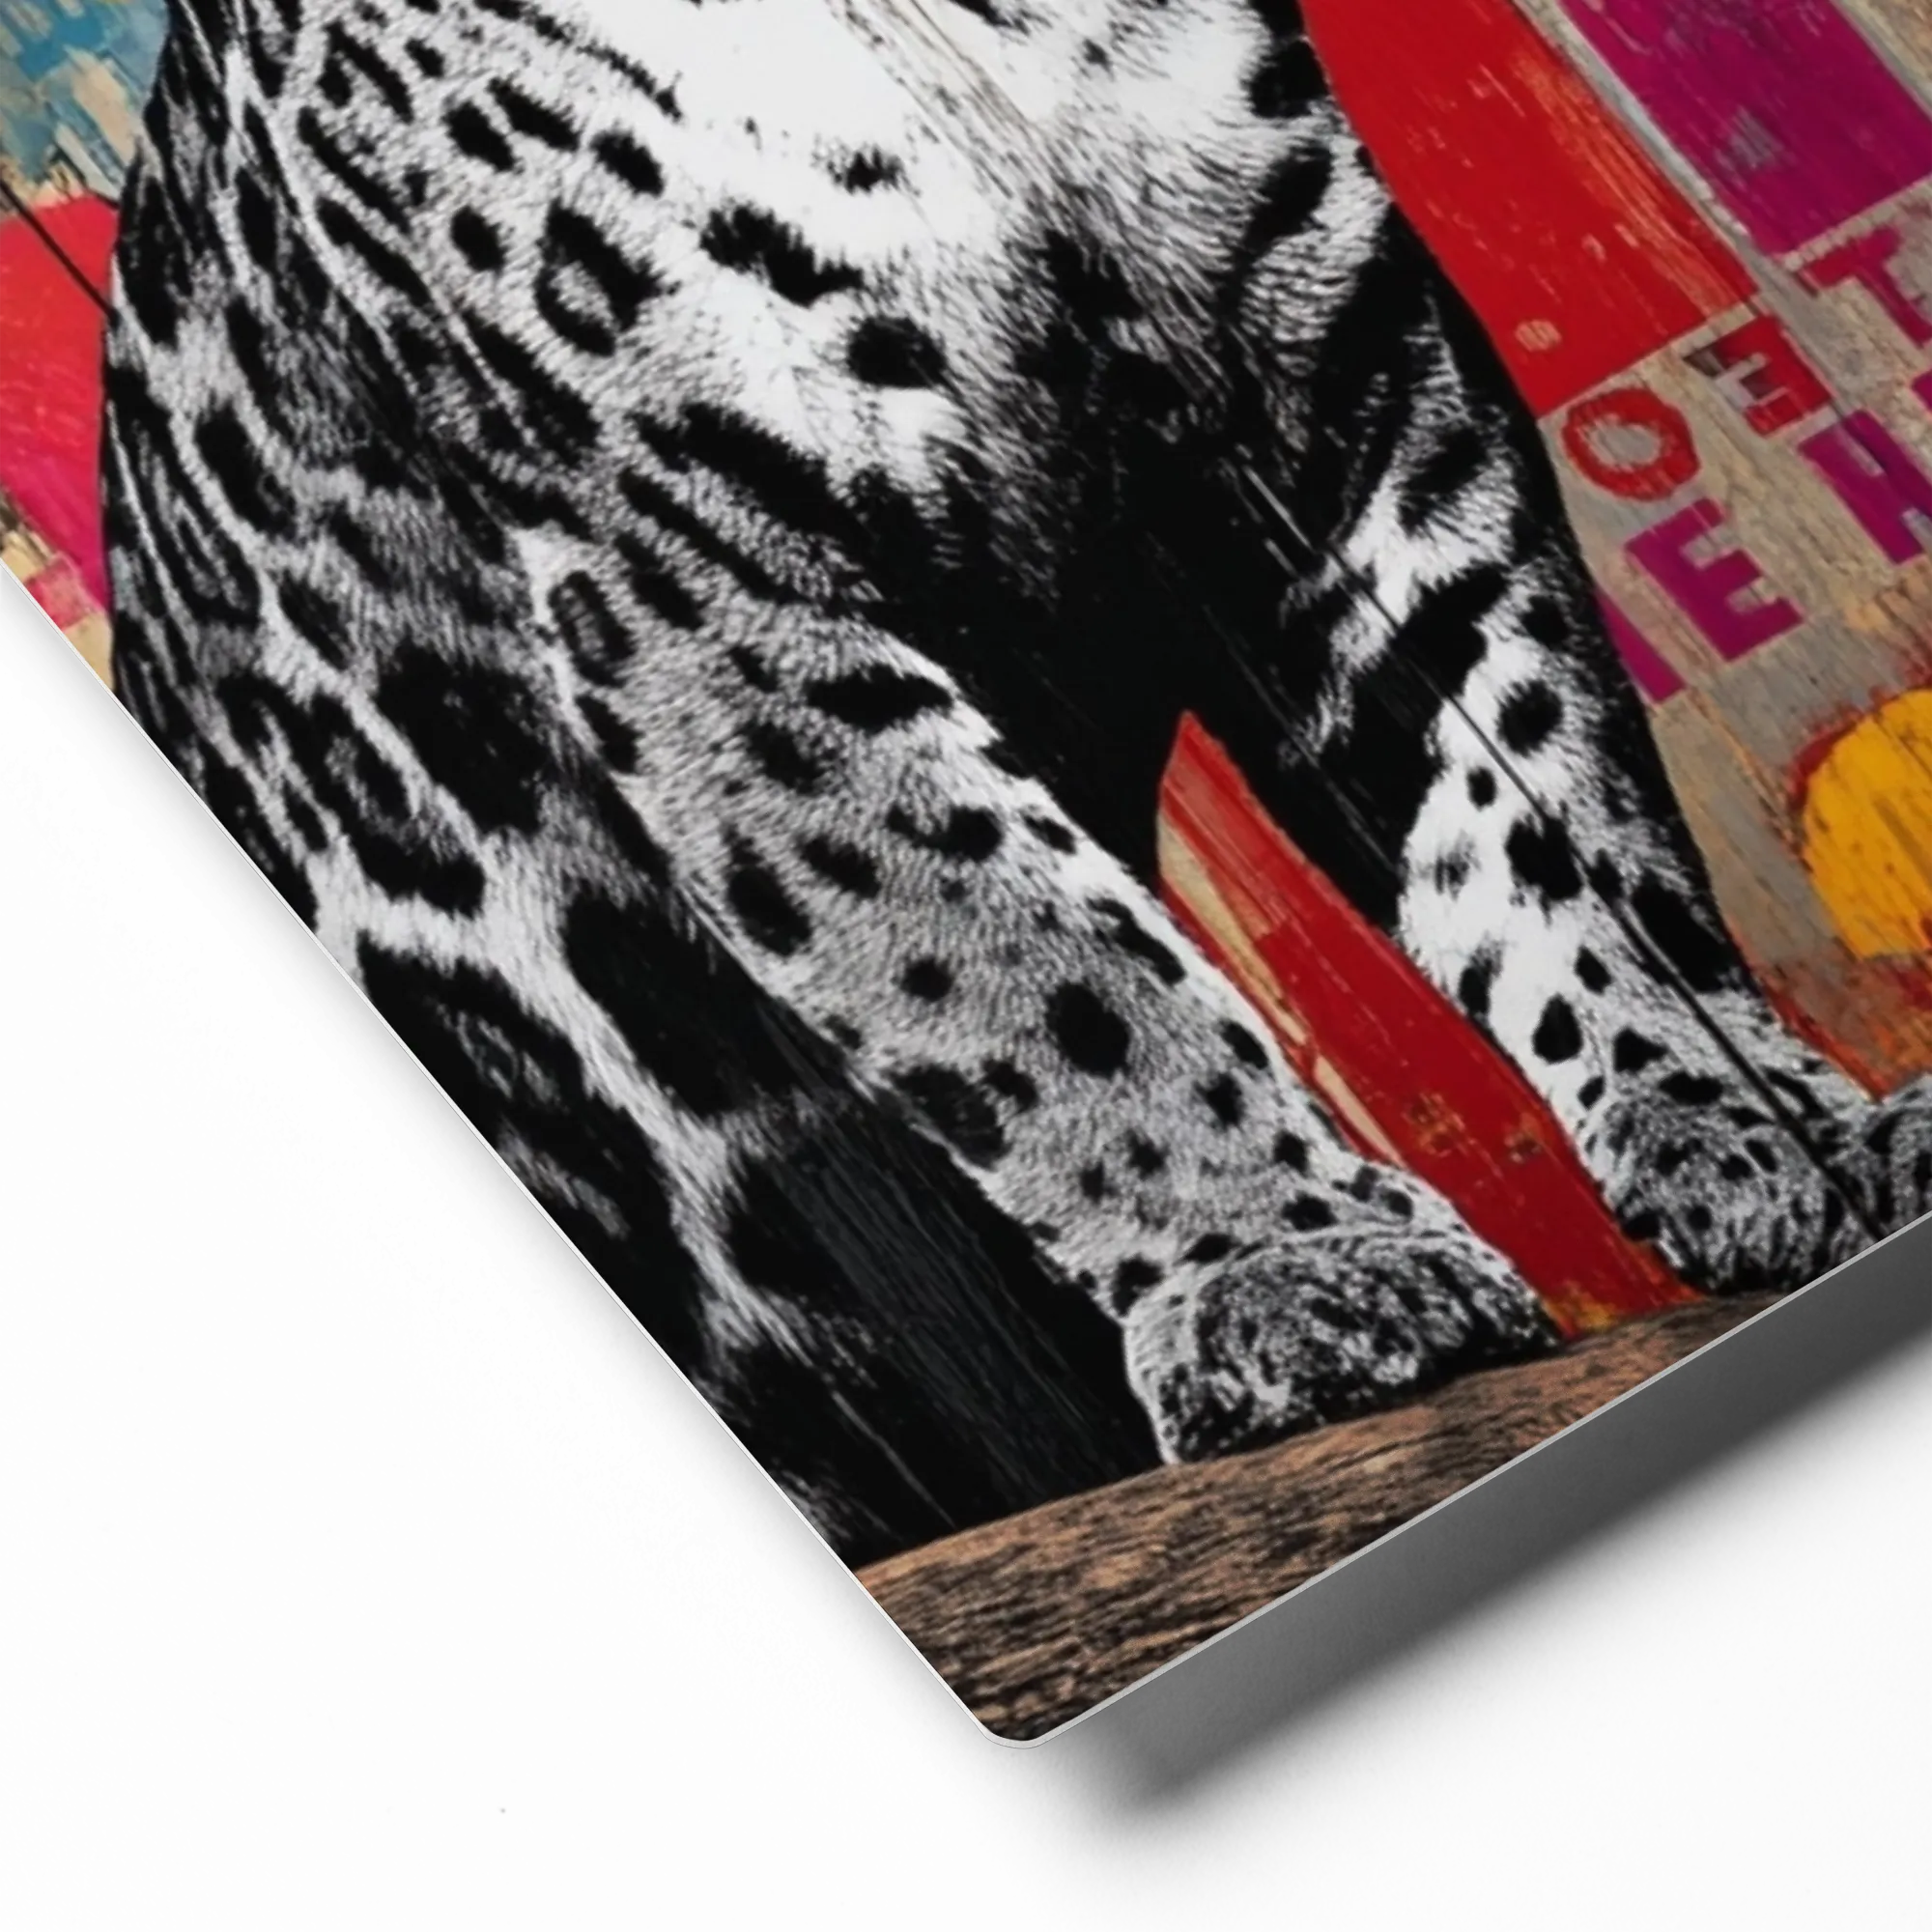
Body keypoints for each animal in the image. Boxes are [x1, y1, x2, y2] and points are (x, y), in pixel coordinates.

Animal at [99, 0, 1930, 1567]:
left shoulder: (1355, 417)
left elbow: (1559, 816)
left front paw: (1774, 1126)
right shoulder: (700, 577)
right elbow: (1048, 973)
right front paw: (1301, 1271)